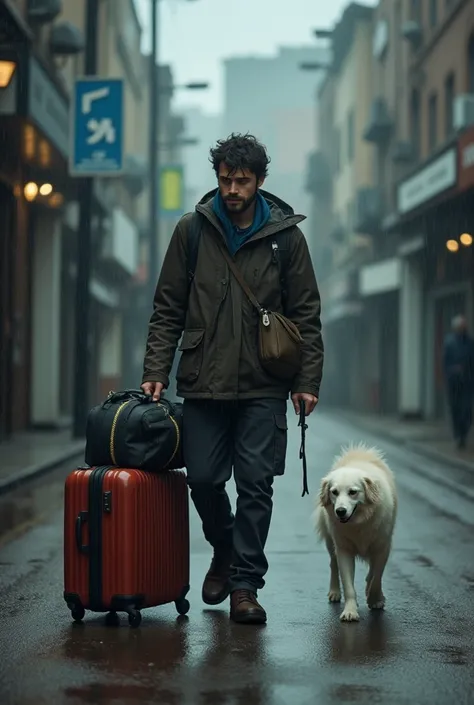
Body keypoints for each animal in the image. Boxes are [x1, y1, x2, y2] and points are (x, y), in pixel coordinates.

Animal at [312, 446, 398, 620]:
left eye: (353, 492)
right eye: (334, 492)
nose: (340, 511)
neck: (359, 522)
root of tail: (358, 453)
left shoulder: (382, 547)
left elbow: (377, 576)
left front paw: (374, 599)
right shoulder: (344, 549)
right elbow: (348, 585)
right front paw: (350, 611)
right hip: (331, 543)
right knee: (333, 564)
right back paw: (334, 591)